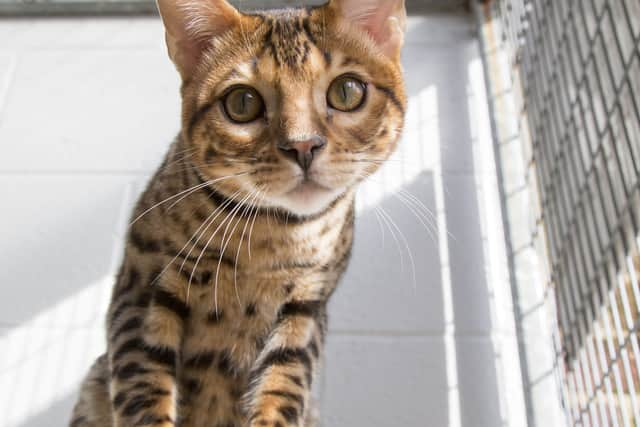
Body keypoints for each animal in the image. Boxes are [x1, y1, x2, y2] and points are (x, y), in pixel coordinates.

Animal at [70, 1, 408, 426]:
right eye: (242, 103)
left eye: (347, 91)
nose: (303, 146)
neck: (272, 235)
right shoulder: (143, 285)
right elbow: (142, 388)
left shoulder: (307, 308)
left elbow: (283, 386)